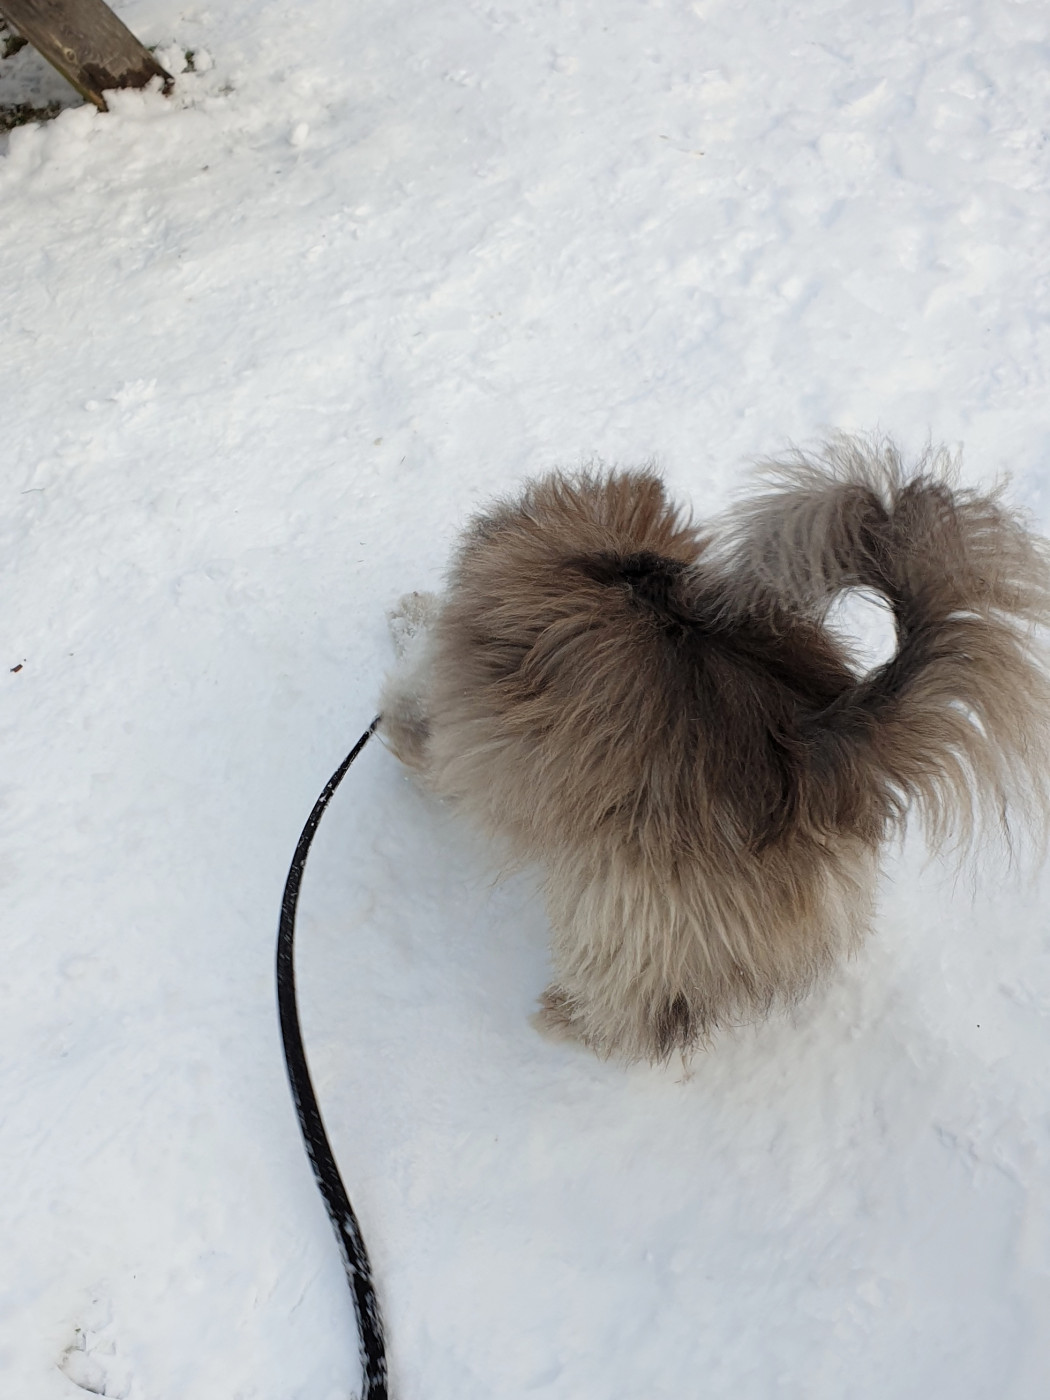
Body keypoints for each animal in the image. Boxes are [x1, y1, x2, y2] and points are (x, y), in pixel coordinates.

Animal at [380, 438, 1050, 1063]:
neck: (606, 560)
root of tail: (812, 749)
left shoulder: (466, 735)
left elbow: (423, 728)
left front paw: (396, 687)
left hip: (634, 894)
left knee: (637, 1006)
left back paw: (570, 1020)